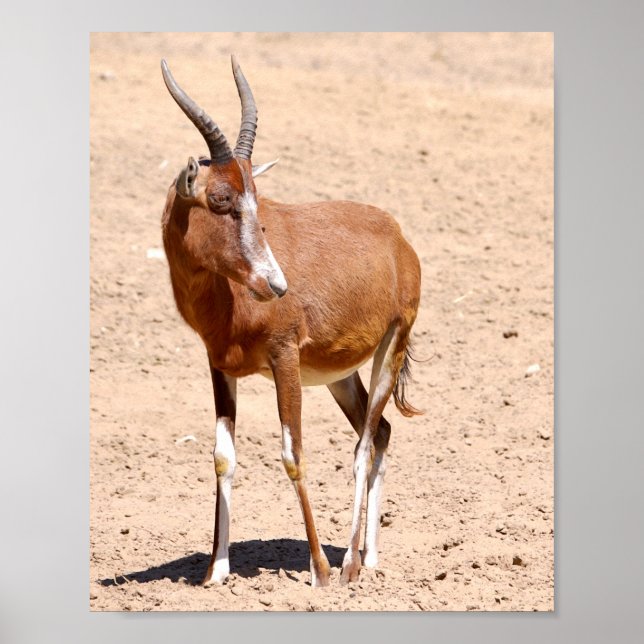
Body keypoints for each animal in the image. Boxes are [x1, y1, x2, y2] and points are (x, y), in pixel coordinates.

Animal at [160, 56, 422, 588]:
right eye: (221, 199)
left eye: (257, 197)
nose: (276, 284)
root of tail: (397, 237)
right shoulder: (219, 366)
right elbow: (223, 457)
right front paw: (215, 572)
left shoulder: (284, 359)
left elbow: (293, 454)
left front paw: (318, 570)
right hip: (339, 376)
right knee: (382, 432)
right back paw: (371, 558)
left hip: (392, 346)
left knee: (365, 445)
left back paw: (348, 566)